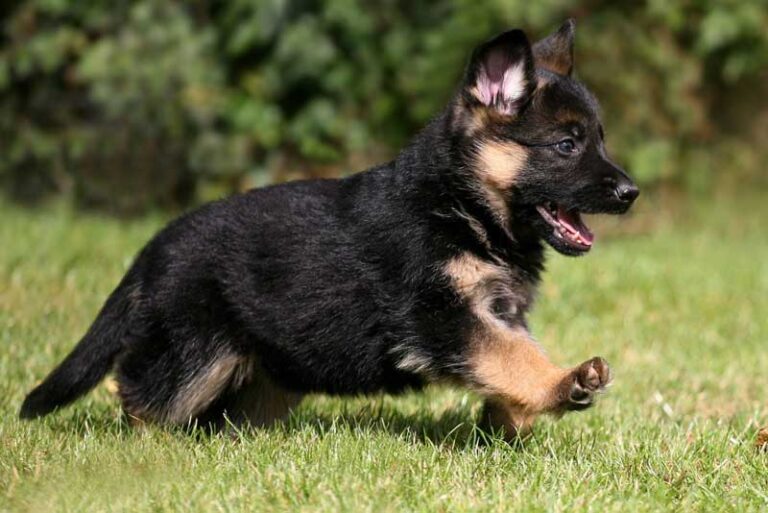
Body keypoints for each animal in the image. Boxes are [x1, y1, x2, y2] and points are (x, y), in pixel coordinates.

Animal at [20, 20, 638, 439]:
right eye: (567, 145)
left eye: (599, 139)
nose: (631, 192)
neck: (459, 206)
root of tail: (153, 249)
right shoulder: (441, 316)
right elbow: (510, 357)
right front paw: (562, 383)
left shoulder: (496, 311)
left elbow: (512, 355)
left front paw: (513, 419)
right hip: (193, 354)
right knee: (141, 394)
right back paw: (145, 446)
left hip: (268, 373)